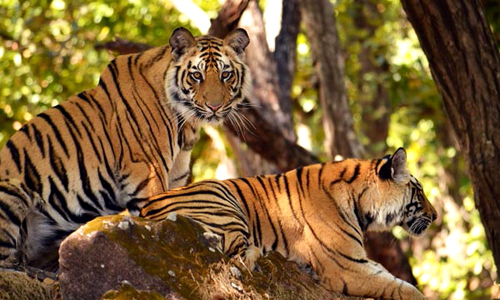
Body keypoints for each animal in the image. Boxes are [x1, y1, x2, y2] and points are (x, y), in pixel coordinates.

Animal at [0, 27, 250, 270]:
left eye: (226, 74)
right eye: (196, 75)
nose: (214, 107)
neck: (186, 125)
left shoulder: (175, 180)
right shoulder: (148, 173)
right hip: (13, 191)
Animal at [140, 148, 434, 300]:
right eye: (419, 192)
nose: (435, 217)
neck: (360, 201)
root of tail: (144, 208)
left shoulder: (357, 262)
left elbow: (392, 278)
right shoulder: (347, 267)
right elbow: (402, 287)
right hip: (221, 198)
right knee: (235, 256)